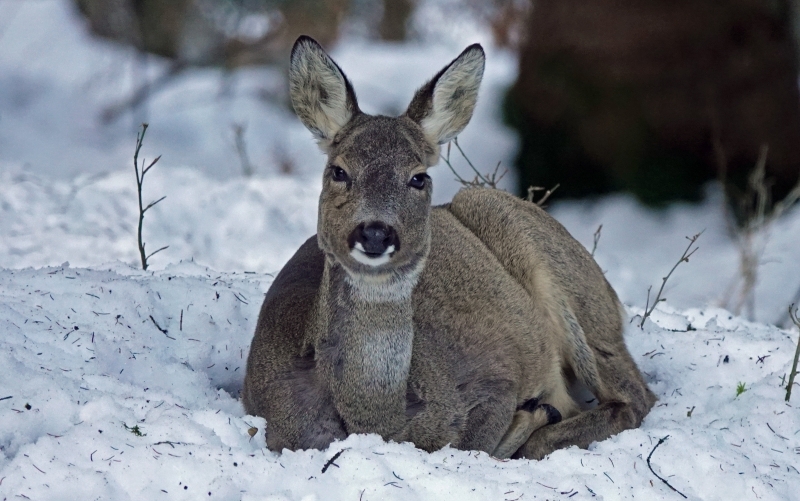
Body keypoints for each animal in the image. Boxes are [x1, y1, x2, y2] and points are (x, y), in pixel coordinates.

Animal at [243, 36, 656, 460]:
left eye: (418, 177)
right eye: (338, 171)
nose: (375, 233)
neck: (379, 420)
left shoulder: (495, 380)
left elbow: (478, 442)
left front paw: (531, 416)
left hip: (548, 265)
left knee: (635, 397)